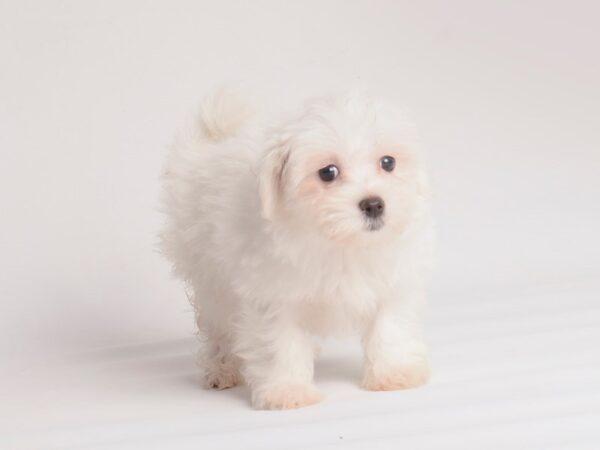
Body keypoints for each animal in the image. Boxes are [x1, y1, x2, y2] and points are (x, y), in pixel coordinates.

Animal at [159, 88, 434, 408]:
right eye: (328, 172)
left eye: (388, 163)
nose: (374, 204)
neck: (340, 243)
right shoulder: (273, 295)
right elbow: (281, 343)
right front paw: (287, 391)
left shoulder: (393, 281)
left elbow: (389, 328)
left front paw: (394, 374)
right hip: (209, 273)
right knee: (218, 325)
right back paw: (221, 369)